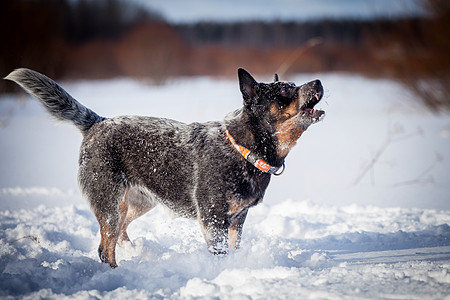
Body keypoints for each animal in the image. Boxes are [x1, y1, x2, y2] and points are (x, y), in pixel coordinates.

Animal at [5, 68, 326, 268]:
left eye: (293, 84)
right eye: (284, 89)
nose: (319, 81)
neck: (243, 149)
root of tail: (97, 122)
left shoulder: (239, 217)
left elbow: (235, 248)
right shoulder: (214, 218)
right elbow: (219, 252)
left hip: (138, 202)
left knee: (116, 234)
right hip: (109, 201)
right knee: (106, 245)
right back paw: (116, 272)